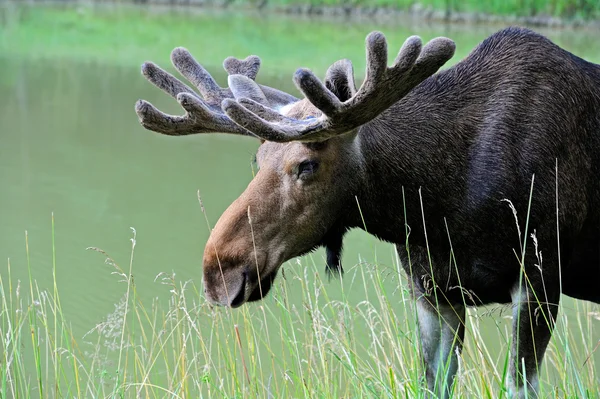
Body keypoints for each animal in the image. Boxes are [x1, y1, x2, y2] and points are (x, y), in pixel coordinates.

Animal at [136, 26, 600, 398]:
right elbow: (432, 384)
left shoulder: (539, 278)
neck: (438, 203)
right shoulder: (432, 289)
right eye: (257, 158)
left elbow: (520, 386)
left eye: (307, 164)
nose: (219, 270)